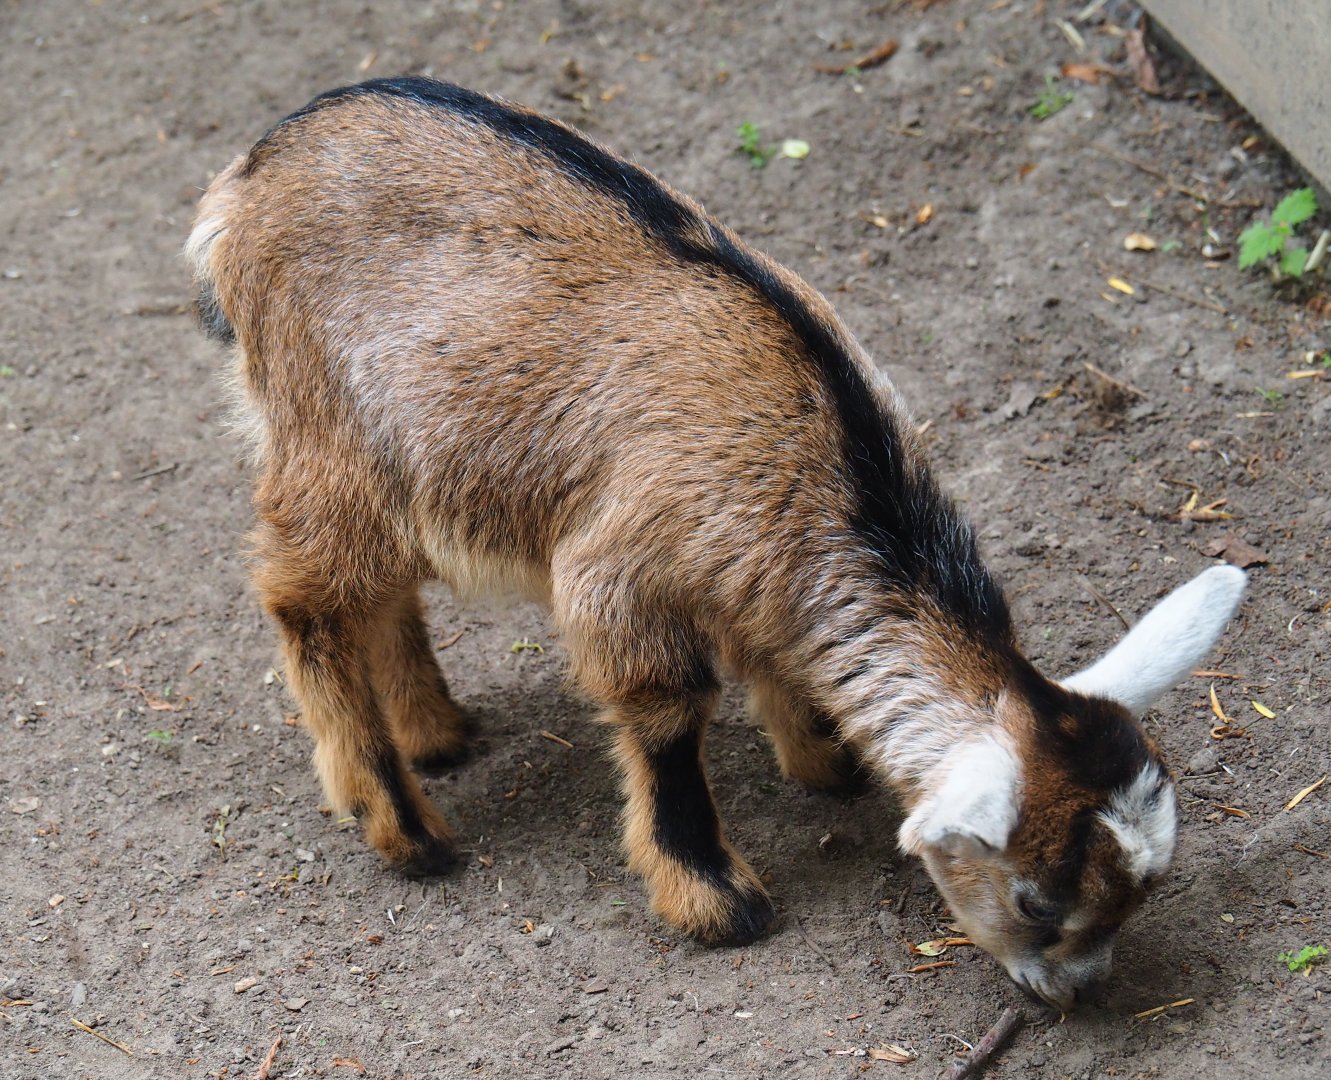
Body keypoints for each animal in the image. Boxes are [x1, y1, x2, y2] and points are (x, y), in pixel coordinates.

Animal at [187, 78, 1246, 1011]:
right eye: (1035, 901)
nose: (1082, 994)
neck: (828, 454)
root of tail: (259, 166)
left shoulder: (750, 566)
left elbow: (772, 654)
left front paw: (825, 759)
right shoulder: (619, 572)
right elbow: (664, 712)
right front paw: (714, 899)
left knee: (381, 588)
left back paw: (436, 732)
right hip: (320, 420)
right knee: (305, 596)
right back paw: (401, 825)